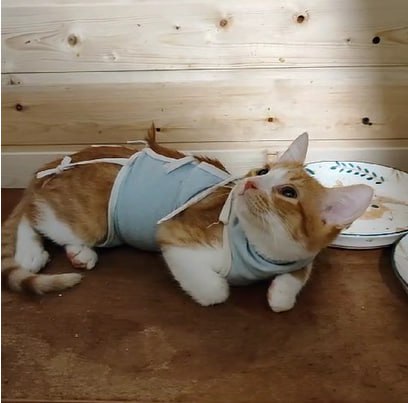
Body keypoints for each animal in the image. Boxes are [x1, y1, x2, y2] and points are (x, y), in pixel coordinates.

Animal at [1, 125, 373, 312]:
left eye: (288, 192)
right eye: (263, 171)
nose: (250, 182)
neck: (262, 249)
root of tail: (55, 162)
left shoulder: (303, 256)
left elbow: (295, 280)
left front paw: (279, 294)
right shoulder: (173, 234)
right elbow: (215, 291)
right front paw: (217, 288)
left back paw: (70, 253)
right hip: (91, 219)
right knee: (35, 215)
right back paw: (35, 253)